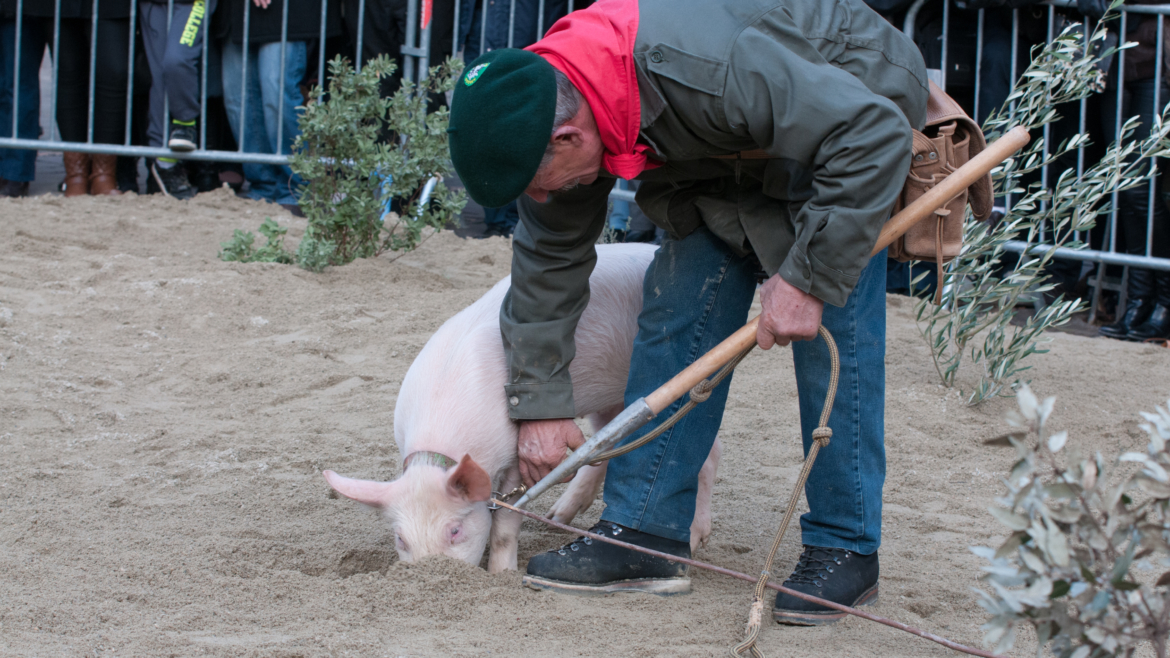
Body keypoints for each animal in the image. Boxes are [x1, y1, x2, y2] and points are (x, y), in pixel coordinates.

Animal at [322, 241, 720, 569]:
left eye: (454, 530)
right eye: (400, 538)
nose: (432, 575)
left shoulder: (515, 457)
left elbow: (504, 525)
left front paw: (502, 574)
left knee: (704, 454)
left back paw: (694, 541)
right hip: (607, 399)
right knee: (607, 444)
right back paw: (559, 518)